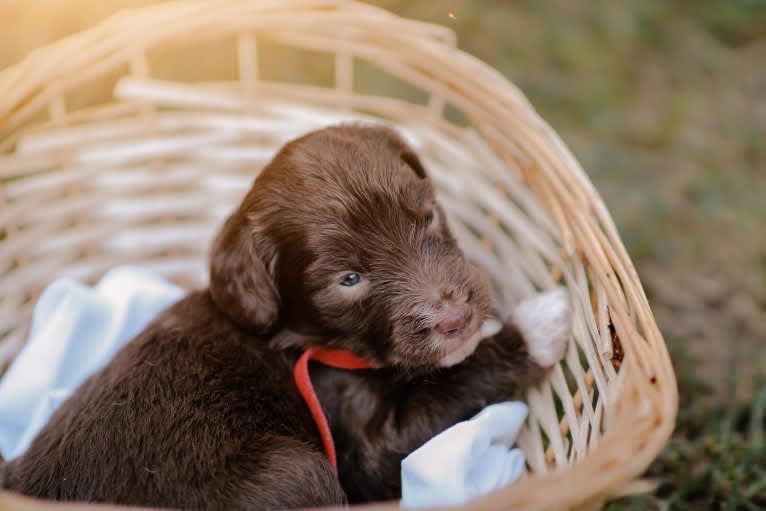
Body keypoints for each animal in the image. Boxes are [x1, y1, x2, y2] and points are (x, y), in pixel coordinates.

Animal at [1, 126, 568, 510]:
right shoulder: (361, 446)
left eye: (427, 217)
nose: (455, 317)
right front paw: (537, 325)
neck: (307, 341)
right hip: (295, 470)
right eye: (348, 279)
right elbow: (439, 398)